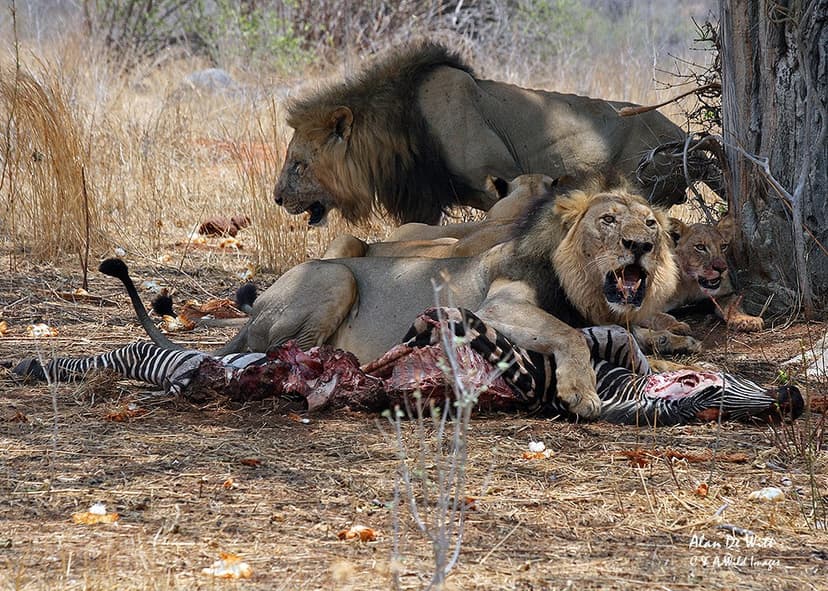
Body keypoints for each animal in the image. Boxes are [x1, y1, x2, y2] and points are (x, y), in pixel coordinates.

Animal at [108, 185, 679, 420]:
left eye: (651, 224)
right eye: (608, 220)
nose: (640, 246)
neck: (583, 288)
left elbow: (622, 334)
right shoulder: (497, 308)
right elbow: (568, 336)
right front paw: (582, 392)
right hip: (336, 276)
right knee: (284, 352)